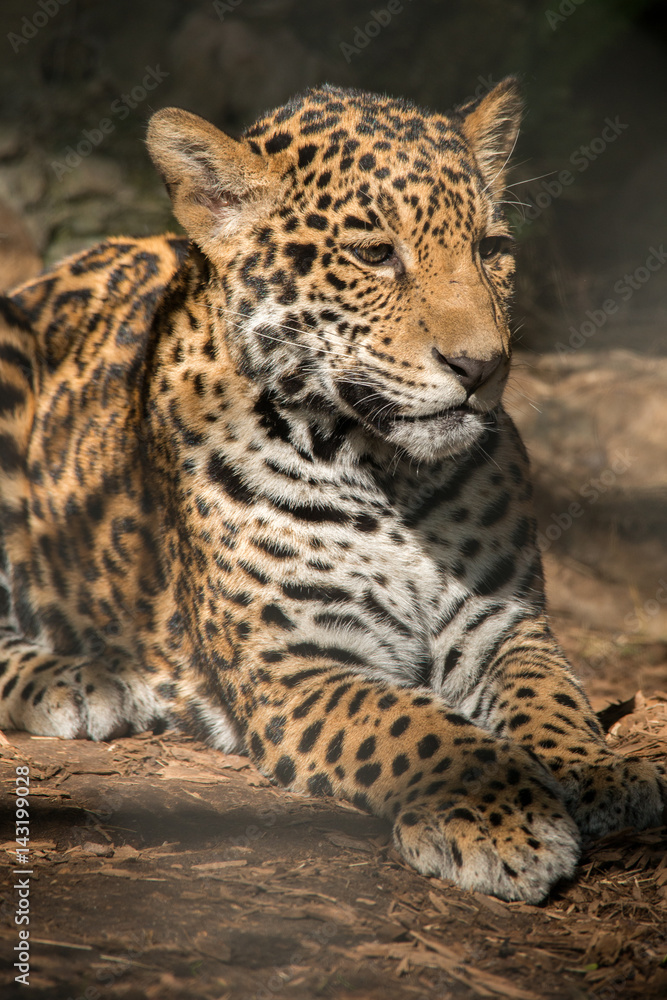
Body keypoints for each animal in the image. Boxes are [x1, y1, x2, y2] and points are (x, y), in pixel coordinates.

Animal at [0, 78, 664, 904]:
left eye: (490, 250)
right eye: (375, 255)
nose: (482, 366)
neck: (387, 474)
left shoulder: (502, 623)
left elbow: (550, 694)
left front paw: (599, 771)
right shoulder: (298, 662)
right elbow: (417, 727)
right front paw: (496, 812)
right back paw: (80, 682)